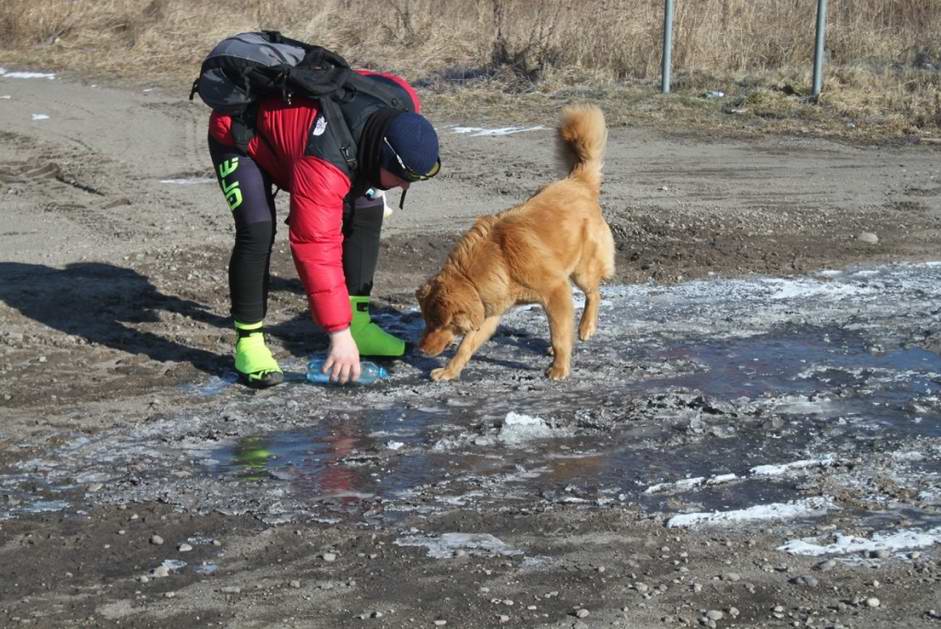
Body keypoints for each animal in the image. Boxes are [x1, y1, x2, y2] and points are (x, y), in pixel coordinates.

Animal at [414, 103, 612, 380]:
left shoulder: (556, 291)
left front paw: (560, 368)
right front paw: (449, 371)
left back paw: (585, 328)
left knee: (594, 293)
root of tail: (578, 181)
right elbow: (466, 347)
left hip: (582, 270)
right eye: (426, 321)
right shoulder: (488, 310)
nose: (419, 349)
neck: (501, 259)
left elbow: (560, 336)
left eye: (438, 323)